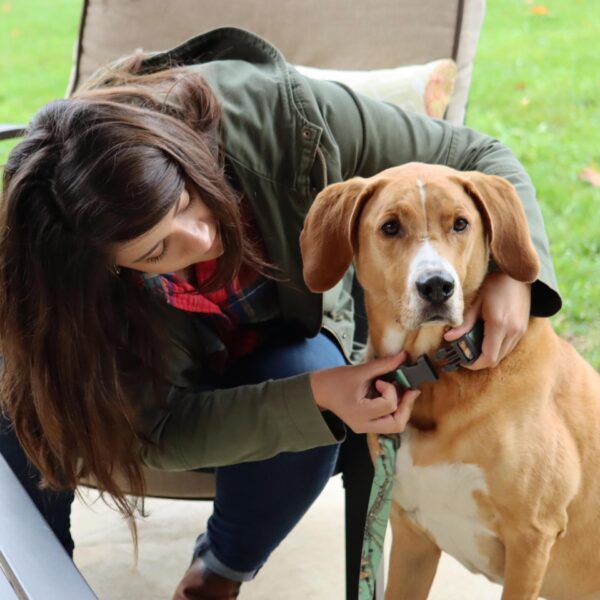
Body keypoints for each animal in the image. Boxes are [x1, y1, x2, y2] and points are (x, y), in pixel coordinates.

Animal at [302, 164, 600, 600]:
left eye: (461, 224)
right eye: (390, 227)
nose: (437, 285)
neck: (438, 372)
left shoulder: (532, 539)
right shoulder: (411, 538)